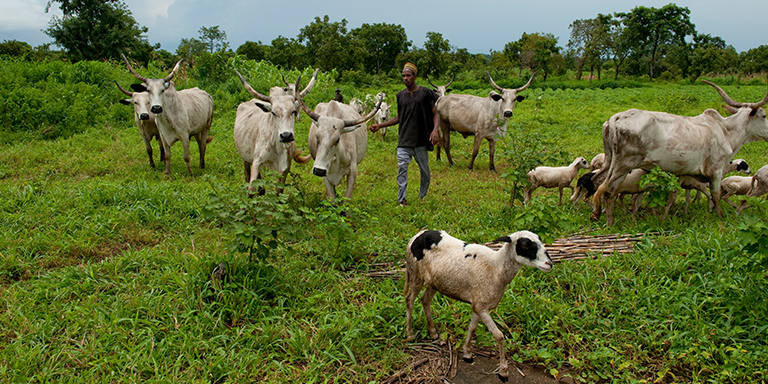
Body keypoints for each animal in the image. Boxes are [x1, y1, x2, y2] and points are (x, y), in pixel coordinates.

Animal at [402, 230, 552, 382]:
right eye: (525, 245)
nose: (549, 264)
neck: (497, 268)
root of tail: (418, 235)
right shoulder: (482, 307)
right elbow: (499, 336)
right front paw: (503, 372)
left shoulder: (479, 304)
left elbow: (472, 327)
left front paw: (467, 353)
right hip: (415, 273)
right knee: (409, 300)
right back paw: (410, 334)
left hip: (435, 282)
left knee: (425, 300)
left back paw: (432, 332)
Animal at [592, 80, 768, 225]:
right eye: (764, 115)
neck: (725, 131)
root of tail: (616, 117)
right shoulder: (716, 171)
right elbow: (716, 196)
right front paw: (719, 217)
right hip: (622, 164)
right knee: (606, 190)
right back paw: (604, 218)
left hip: (610, 161)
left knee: (598, 182)